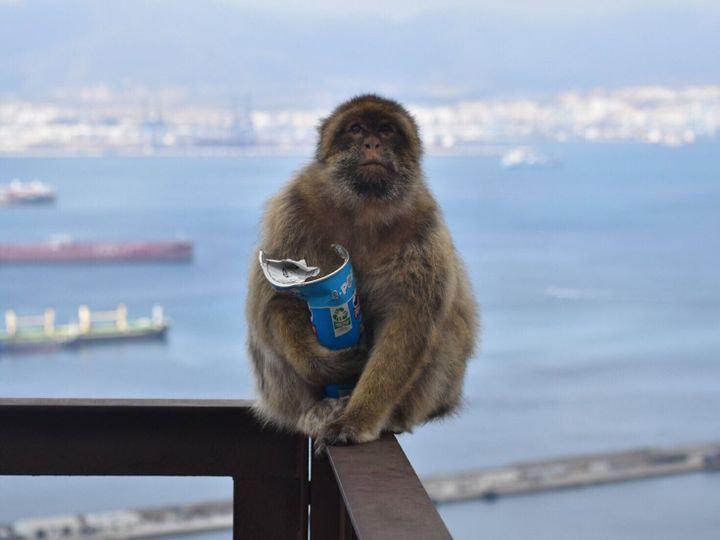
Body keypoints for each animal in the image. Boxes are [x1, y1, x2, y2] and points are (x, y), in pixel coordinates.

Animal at [246, 94, 478, 453]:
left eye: (386, 129)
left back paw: (389, 416)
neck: (364, 209)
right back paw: (318, 409)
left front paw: (357, 420)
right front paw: (330, 365)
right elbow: (276, 301)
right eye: (355, 129)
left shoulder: (424, 228)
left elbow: (409, 322)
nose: (372, 143)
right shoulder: (292, 210)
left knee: (448, 329)